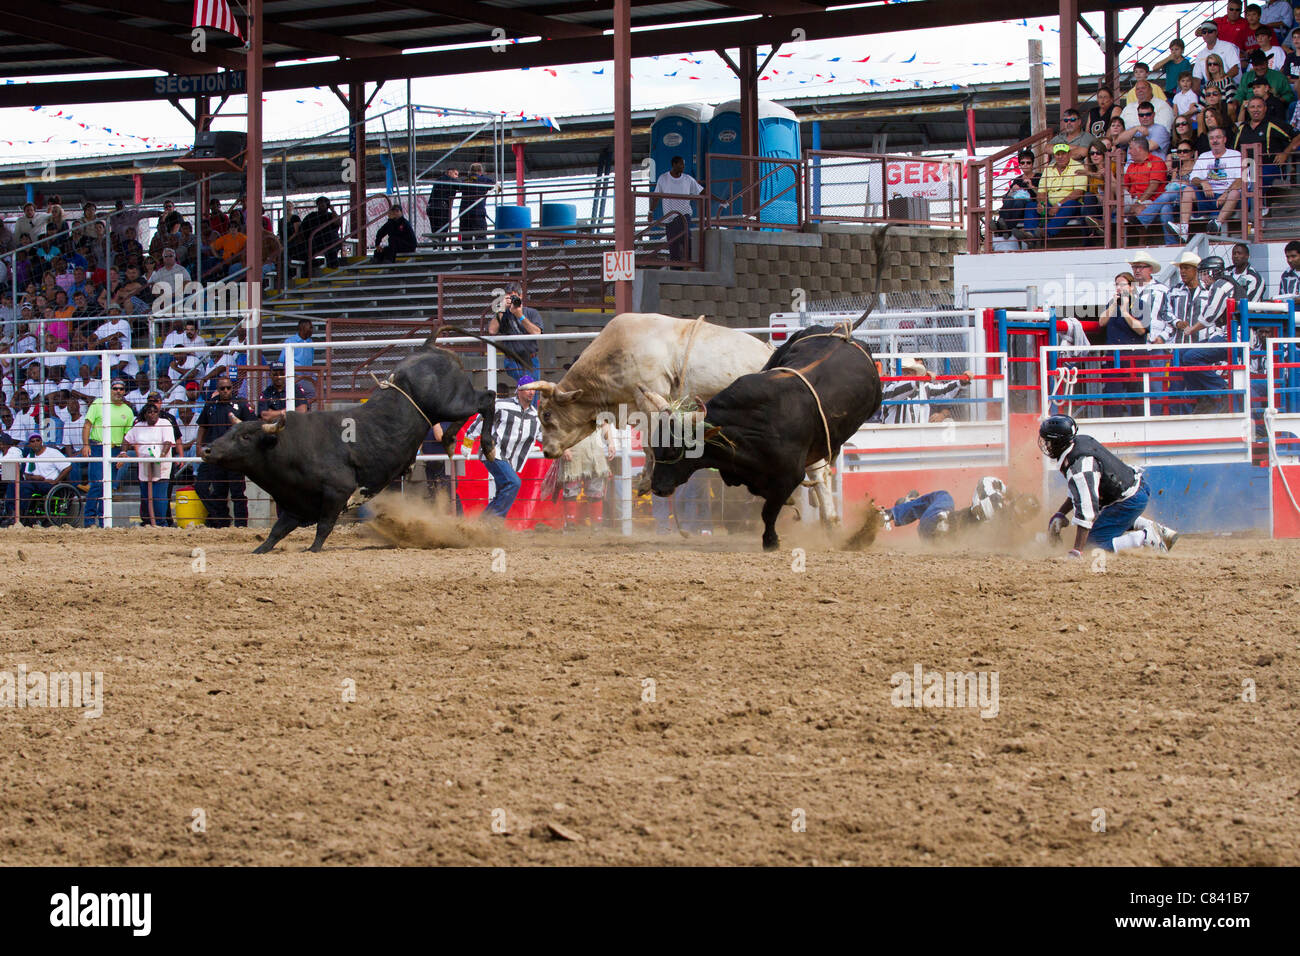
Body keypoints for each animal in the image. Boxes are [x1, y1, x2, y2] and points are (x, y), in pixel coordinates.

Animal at [202, 338, 496, 554]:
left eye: (245, 437)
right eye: (230, 431)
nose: (206, 450)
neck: (289, 447)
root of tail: (428, 349)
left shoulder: (337, 491)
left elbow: (324, 526)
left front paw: (312, 549)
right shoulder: (295, 504)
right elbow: (277, 531)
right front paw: (260, 549)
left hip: (451, 402)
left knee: (487, 399)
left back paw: (488, 445)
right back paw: (450, 439)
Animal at [522, 312, 837, 522]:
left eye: (547, 414)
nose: (547, 450)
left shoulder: (653, 394)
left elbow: (650, 442)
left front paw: (646, 481)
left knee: (817, 468)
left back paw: (829, 516)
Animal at [642, 329, 883, 554]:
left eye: (674, 452)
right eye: (655, 448)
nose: (658, 488)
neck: (755, 424)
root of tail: (841, 334)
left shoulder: (789, 476)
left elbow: (768, 511)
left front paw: (771, 541)